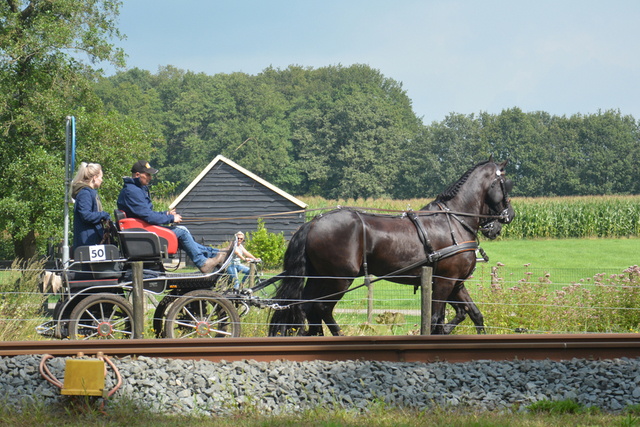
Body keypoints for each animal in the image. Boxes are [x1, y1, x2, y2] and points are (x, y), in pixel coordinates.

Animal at [268, 157, 512, 338]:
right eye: (506, 184)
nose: (508, 217)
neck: (454, 220)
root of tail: (313, 223)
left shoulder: (455, 283)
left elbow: (472, 314)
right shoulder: (445, 282)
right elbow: (435, 320)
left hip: (319, 278)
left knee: (304, 307)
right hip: (339, 279)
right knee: (321, 308)